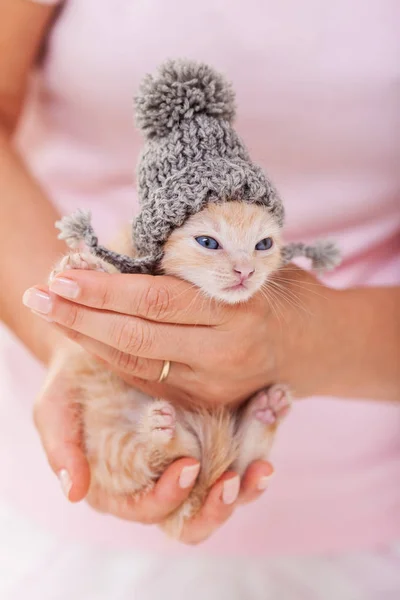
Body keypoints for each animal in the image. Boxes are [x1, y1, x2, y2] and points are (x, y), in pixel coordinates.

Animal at [49, 203, 290, 540]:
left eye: (264, 244)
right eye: (208, 242)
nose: (246, 271)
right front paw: (86, 265)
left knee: (212, 467)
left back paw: (261, 414)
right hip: (109, 446)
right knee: (178, 462)